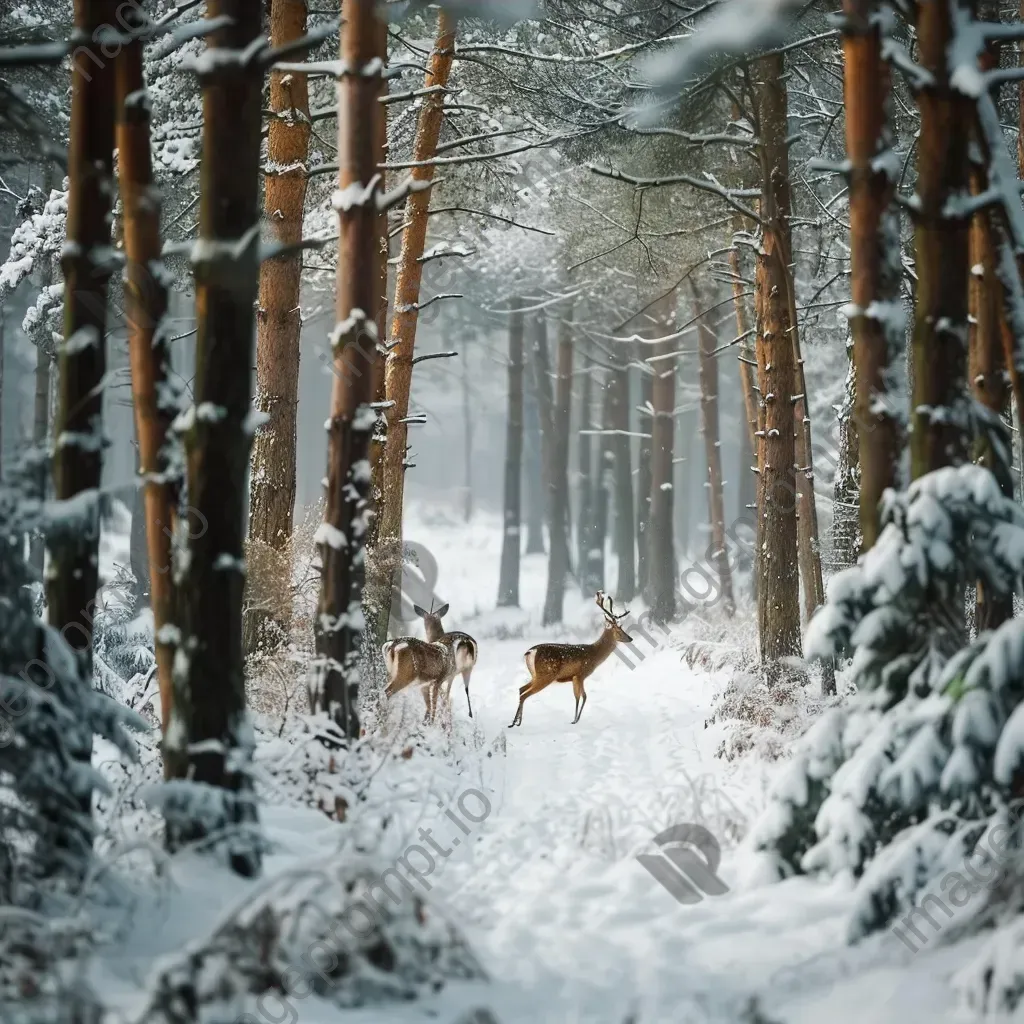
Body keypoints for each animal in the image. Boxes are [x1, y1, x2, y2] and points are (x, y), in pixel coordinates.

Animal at [509, 593, 634, 729]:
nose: (630, 638)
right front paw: (575, 720)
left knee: (521, 689)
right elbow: (582, 696)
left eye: (621, 627)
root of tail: (530, 652)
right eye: (618, 629)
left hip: (535, 675)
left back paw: (514, 722)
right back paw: (517, 722)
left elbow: (579, 696)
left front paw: (575, 719)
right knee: (524, 694)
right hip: (546, 674)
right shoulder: (581, 674)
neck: (594, 656)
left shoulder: (574, 676)